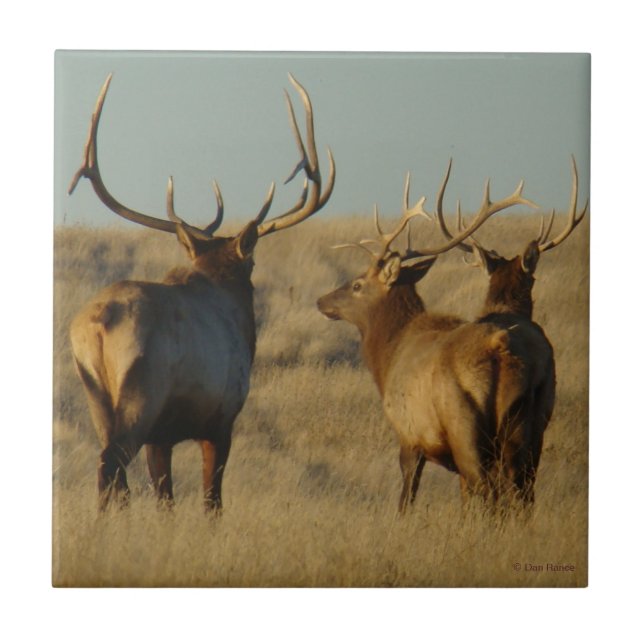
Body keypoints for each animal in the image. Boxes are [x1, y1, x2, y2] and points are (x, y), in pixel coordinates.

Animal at [68, 73, 335, 511]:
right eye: (253, 264)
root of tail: (97, 324)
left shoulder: (163, 437)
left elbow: (166, 500)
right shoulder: (221, 418)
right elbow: (213, 502)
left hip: (95, 396)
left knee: (115, 475)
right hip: (142, 392)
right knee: (111, 465)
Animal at [317, 168, 553, 513]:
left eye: (358, 284)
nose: (322, 301)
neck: (388, 357)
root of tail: (500, 347)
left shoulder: (408, 432)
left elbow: (406, 499)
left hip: (463, 421)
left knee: (489, 489)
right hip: (532, 420)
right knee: (522, 491)